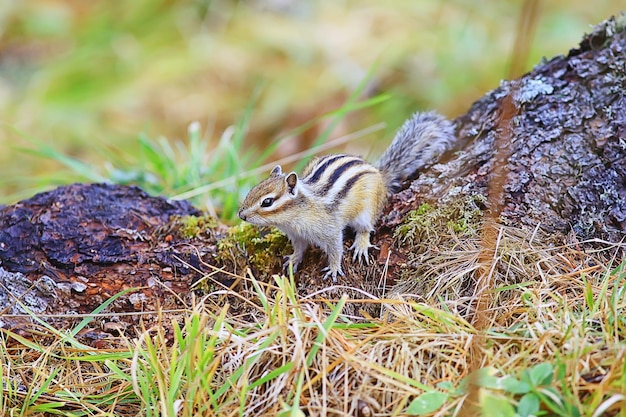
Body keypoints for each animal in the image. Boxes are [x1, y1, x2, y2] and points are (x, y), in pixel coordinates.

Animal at [238, 110, 454, 282]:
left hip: (367, 209)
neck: (294, 217)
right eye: (252, 189)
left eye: (267, 202)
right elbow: (299, 248)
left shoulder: (330, 230)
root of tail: (380, 175)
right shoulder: (297, 236)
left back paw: (361, 244)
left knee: (366, 228)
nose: (241, 215)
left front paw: (334, 269)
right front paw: (293, 259)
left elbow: (336, 250)